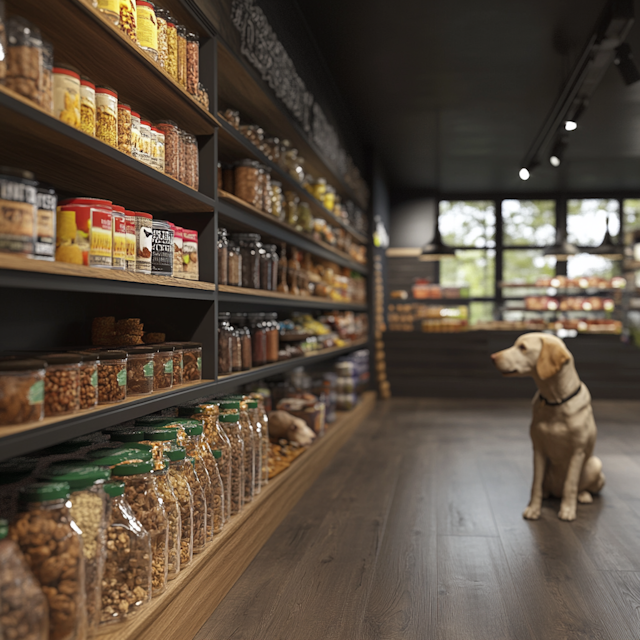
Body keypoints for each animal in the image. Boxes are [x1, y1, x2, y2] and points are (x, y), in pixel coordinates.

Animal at [490, 332, 604, 524]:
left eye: (523, 347)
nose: (492, 357)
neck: (555, 401)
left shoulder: (577, 452)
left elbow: (570, 485)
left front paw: (567, 510)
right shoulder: (538, 450)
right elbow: (536, 483)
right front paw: (533, 509)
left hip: (595, 464)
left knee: (579, 487)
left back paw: (583, 495)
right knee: (545, 487)